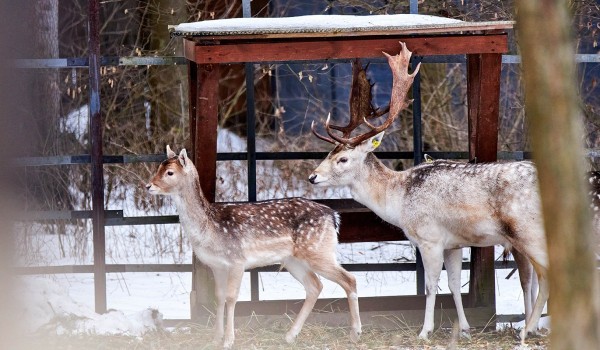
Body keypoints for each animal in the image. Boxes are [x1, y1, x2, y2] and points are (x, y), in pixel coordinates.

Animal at [145, 146, 360, 348]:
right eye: (158, 167)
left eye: (170, 172)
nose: (148, 185)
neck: (208, 229)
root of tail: (333, 216)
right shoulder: (217, 265)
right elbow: (219, 298)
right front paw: (216, 338)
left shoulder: (237, 260)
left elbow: (231, 298)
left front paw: (228, 341)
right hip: (294, 260)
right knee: (315, 286)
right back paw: (290, 336)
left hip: (319, 251)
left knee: (349, 279)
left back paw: (355, 334)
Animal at [310, 40, 548, 340]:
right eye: (328, 153)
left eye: (343, 159)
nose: (312, 176)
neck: (399, 200)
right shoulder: (454, 243)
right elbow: (455, 284)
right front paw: (465, 329)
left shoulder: (429, 238)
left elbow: (431, 285)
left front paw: (425, 331)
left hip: (528, 231)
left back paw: (528, 329)